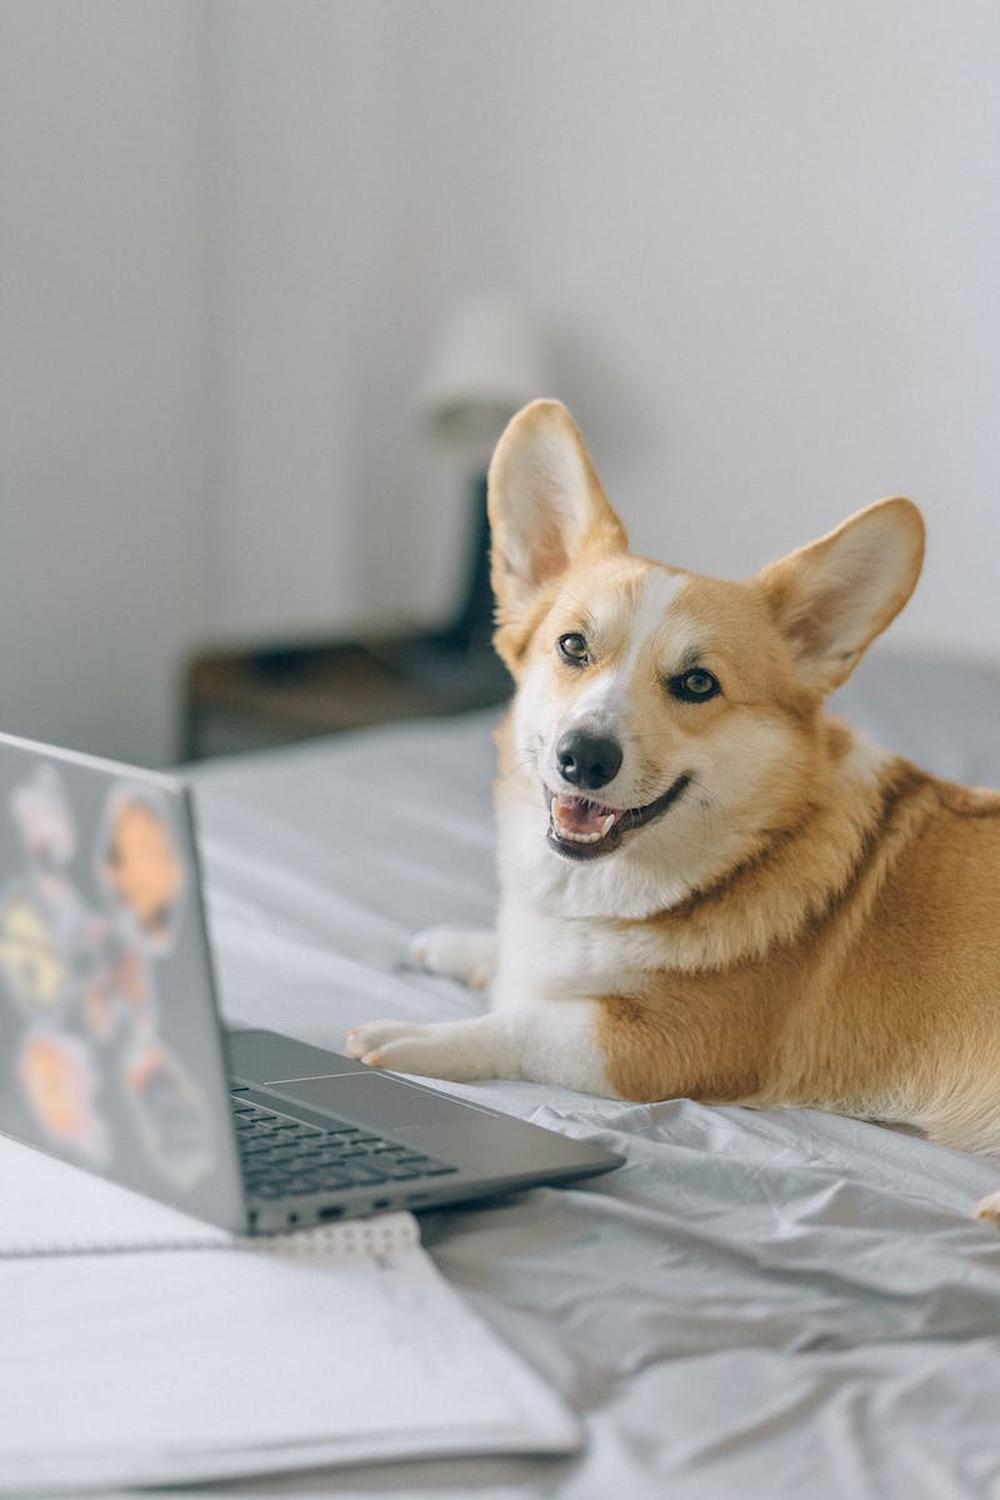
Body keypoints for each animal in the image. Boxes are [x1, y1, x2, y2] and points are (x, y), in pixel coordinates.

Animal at [347, 399, 1000, 1218]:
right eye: (572, 647)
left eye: (696, 684)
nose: (584, 757)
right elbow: (515, 961)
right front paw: (458, 947)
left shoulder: (659, 1047)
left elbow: (525, 1021)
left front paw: (415, 1037)